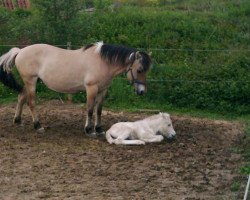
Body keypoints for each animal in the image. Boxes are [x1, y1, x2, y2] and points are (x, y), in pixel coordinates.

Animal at [0, 42, 151, 136]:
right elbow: (90, 110)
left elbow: (99, 110)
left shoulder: (103, 90)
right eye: (139, 70)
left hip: (31, 82)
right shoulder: (91, 89)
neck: (102, 62)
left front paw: (99, 129)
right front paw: (89, 130)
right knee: (31, 103)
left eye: (146, 70)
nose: (142, 91)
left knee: (21, 97)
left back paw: (18, 121)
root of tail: (20, 51)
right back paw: (38, 126)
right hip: (30, 81)